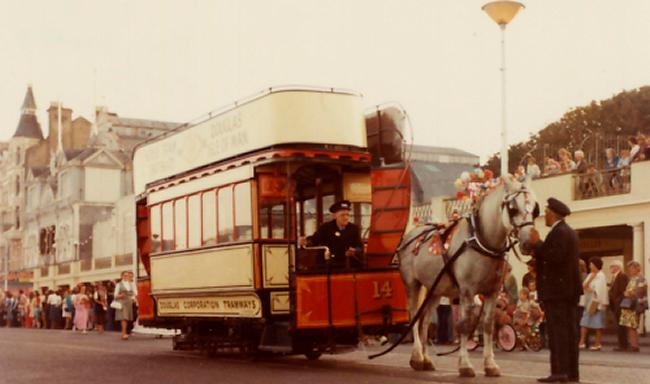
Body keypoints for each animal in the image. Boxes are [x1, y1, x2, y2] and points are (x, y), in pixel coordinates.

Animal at [398, 177, 536, 378]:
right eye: (512, 208)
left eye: (535, 207)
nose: (530, 242)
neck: (480, 239)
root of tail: (410, 236)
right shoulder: (467, 291)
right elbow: (464, 325)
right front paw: (465, 365)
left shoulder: (492, 292)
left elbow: (488, 325)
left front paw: (490, 364)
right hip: (412, 285)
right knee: (415, 319)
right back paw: (416, 357)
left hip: (435, 290)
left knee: (425, 322)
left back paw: (426, 359)